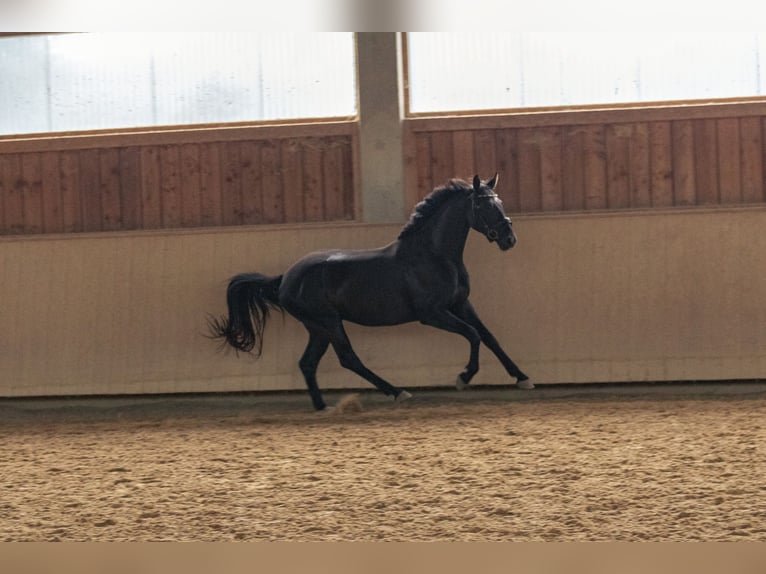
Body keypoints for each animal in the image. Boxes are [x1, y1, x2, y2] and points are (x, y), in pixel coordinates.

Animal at [210, 173, 536, 412]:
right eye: (483, 206)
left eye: (499, 201)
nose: (509, 238)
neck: (434, 255)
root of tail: (286, 278)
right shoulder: (432, 313)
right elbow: (473, 335)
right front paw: (463, 377)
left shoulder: (461, 304)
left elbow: (489, 337)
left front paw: (523, 378)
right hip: (328, 322)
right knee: (348, 359)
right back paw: (397, 392)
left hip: (318, 327)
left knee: (308, 363)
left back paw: (323, 406)